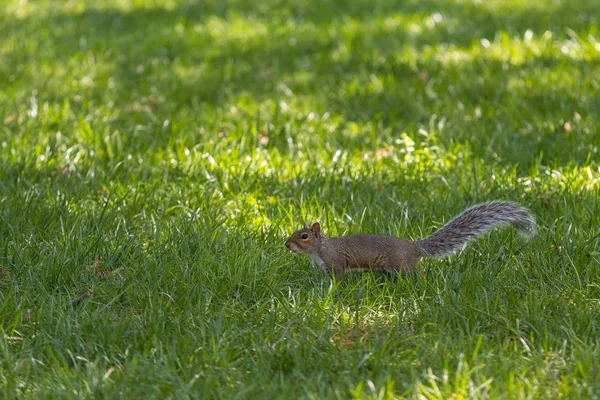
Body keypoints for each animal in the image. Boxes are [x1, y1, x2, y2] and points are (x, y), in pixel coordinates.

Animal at [286, 200, 536, 278]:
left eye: (304, 236)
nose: (287, 244)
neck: (318, 250)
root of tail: (414, 247)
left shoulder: (336, 262)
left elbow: (337, 278)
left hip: (401, 265)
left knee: (418, 272)